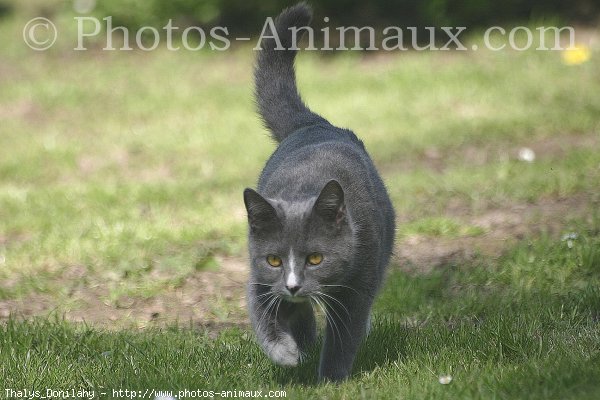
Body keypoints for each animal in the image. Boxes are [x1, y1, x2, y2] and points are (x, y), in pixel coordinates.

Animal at [241, 2, 396, 382]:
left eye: (316, 259)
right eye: (273, 260)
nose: (294, 285)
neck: (304, 188)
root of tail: (313, 124)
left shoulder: (359, 282)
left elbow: (344, 335)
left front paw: (330, 380)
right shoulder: (259, 278)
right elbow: (264, 316)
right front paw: (286, 354)